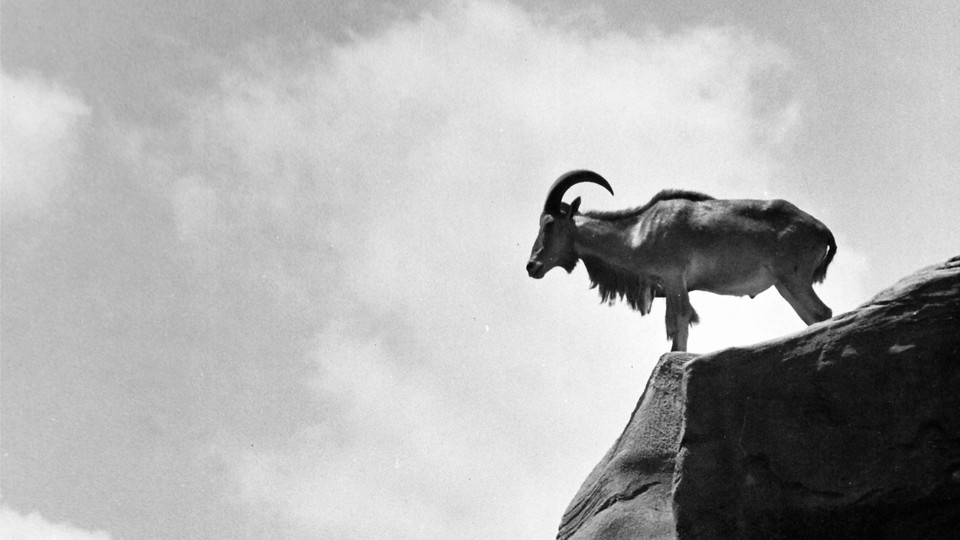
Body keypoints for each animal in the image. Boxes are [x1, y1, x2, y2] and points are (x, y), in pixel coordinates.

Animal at [528, 171, 836, 352]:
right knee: (813, 316)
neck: (638, 231)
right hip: (784, 285)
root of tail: (823, 230)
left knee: (822, 312)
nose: (532, 265)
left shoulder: (674, 276)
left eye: (549, 224)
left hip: (794, 279)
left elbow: (679, 321)